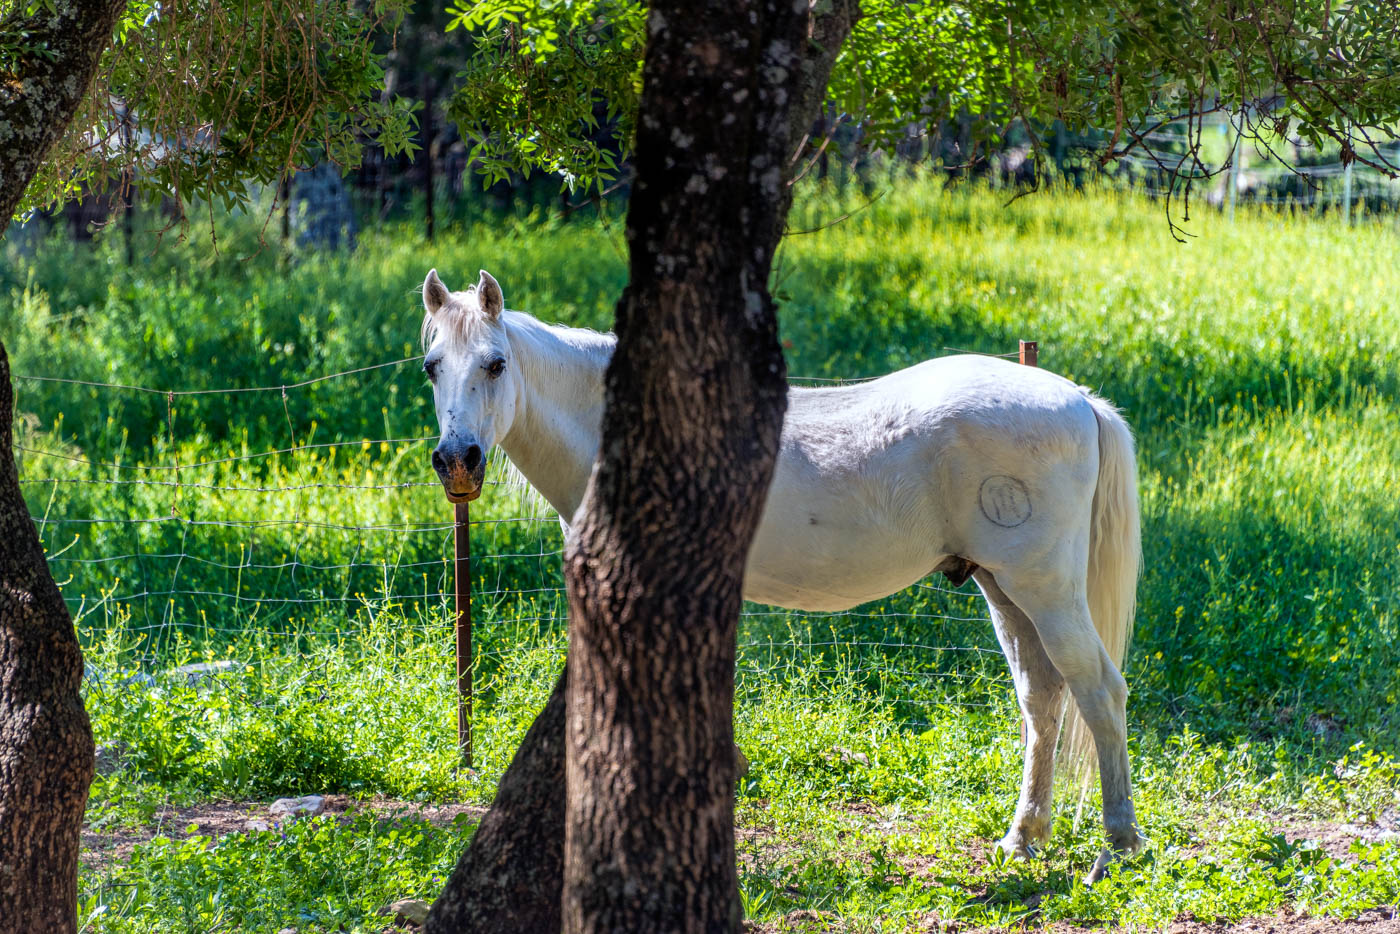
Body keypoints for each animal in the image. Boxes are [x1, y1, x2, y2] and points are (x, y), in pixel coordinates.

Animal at [416, 268, 1145, 881]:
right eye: (431, 367)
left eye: (495, 363)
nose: (457, 461)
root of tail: (1077, 399)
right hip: (1004, 591)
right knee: (1042, 700)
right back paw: (1022, 839)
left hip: (1044, 592)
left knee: (1100, 692)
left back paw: (1118, 847)